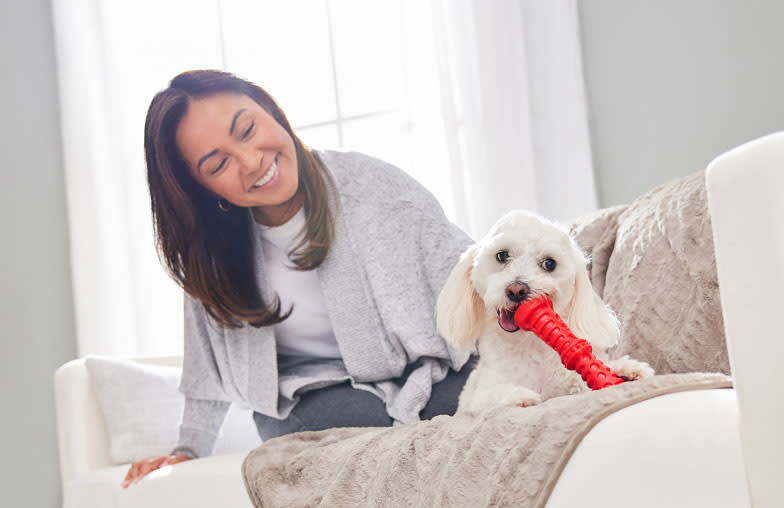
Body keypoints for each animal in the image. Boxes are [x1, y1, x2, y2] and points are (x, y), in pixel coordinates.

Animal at [438, 210, 652, 412]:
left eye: (549, 263)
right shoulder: (479, 397)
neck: (530, 343)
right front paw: (519, 397)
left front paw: (625, 370)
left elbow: (584, 377)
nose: (516, 290)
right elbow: (493, 396)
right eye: (502, 255)